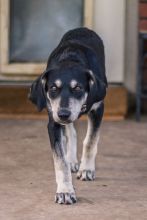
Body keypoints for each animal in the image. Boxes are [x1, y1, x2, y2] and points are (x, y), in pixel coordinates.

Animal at [29, 27, 107, 205]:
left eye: (78, 88)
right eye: (53, 88)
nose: (63, 114)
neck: (70, 60)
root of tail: (82, 28)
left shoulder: (98, 109)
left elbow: (90, 141)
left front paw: (87, 170)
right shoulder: (53, 122)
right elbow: (60, 160)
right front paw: (65, 191)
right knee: (71, 132)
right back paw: (71, 160)